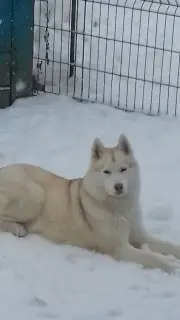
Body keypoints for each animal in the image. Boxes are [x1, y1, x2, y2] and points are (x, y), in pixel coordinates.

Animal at [0, 134, 179, 272]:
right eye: (106, 172)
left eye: (123, 169)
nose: (118, 187)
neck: (119, 209)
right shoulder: (119, 248)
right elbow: (153, 258)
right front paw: (173, 267)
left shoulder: (141, 236)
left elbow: (168, 245)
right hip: (34, 196)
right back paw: (16, 228)